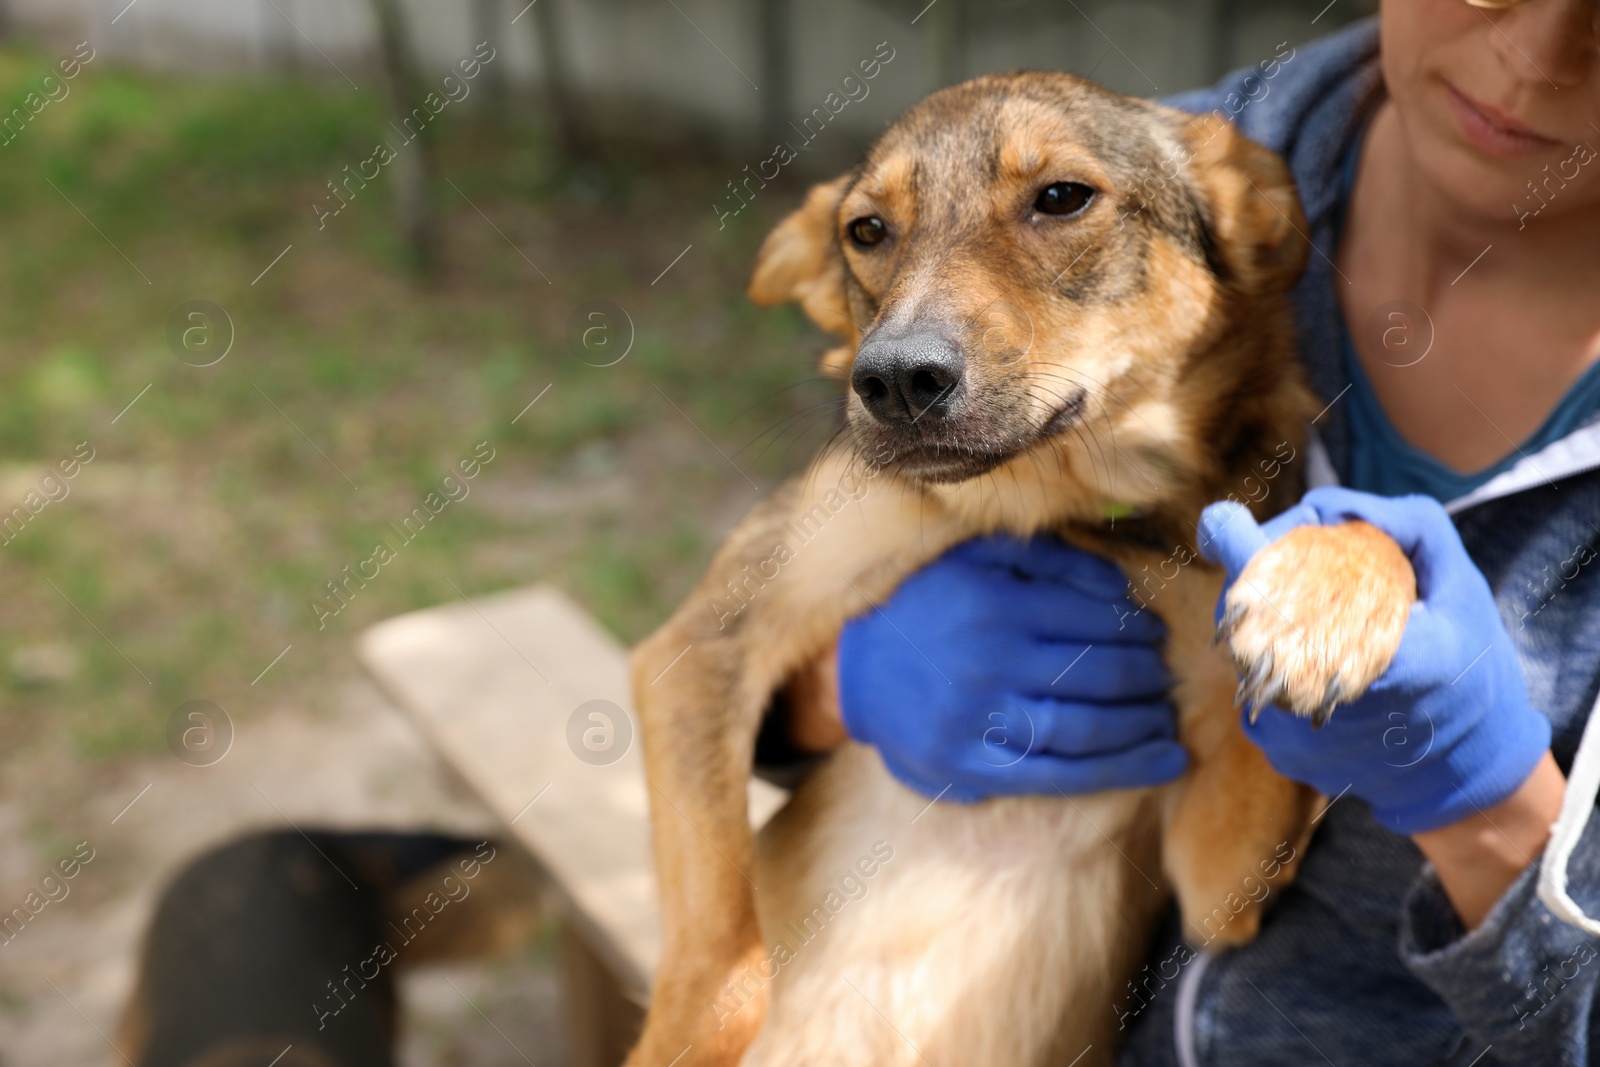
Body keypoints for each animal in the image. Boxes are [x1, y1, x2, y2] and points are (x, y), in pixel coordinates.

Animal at [624, 75, 1414, 1067]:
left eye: (1062, 197)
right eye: (866, 230)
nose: (894, 380)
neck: (1057, 512)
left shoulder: (1219, 886)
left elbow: (1363, 525)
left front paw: (1327, 602)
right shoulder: (702, 645)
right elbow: (721, 975)